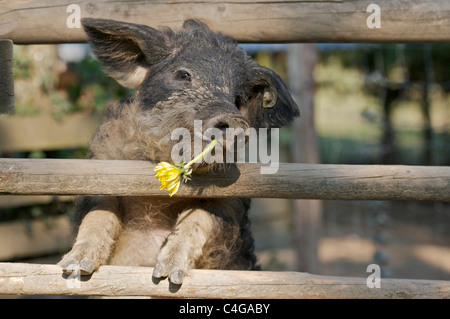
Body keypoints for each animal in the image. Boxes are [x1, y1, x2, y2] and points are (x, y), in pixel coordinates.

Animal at [59, 18, 298, 284]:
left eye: (237, 98)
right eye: (183, 74)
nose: (233, 119)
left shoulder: (231, 203)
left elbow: (199, 218)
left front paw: (165, 275)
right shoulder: (101, 175)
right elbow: (98, 216)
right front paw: (73, 267)